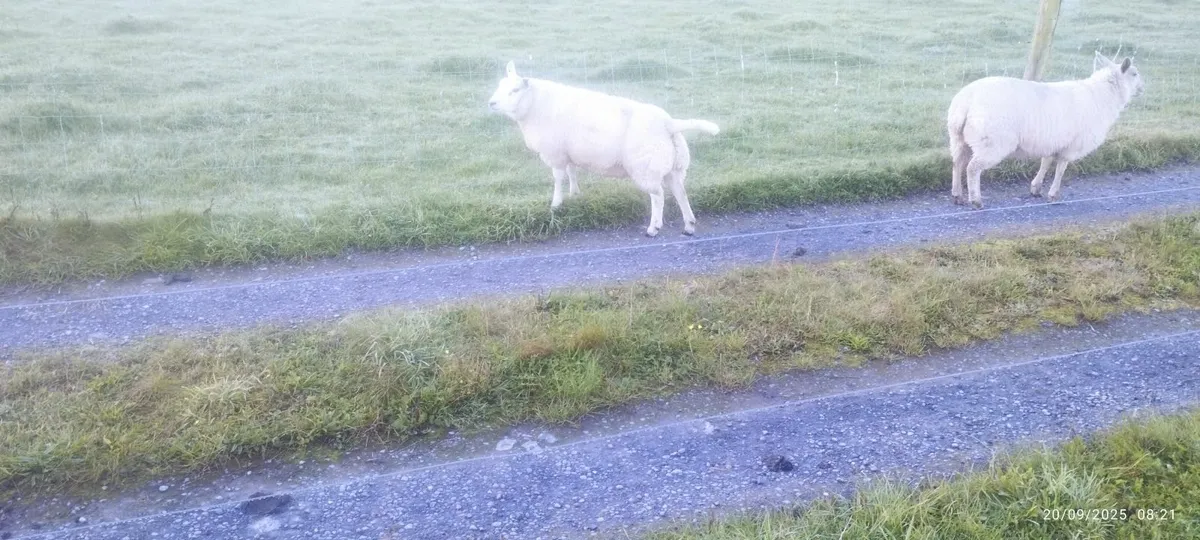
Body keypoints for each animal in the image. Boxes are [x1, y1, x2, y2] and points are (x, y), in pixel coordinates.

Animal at [487, 60, 719, 237]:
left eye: (515, 90)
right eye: (500, 85)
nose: (491, 103)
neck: (535, 106)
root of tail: (669, 123)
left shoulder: (555, 154)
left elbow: (558, 179)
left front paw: (556, 204)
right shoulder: (567, 152)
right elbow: (572, 172)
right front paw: (575, 194)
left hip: (646, 167)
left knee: (658, 196)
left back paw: (653, 228)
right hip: (674, 166)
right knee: (680, 192)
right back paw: (689, 225)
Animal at [946, 51, 1145, 208]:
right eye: (1134, 73)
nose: (1143, 89)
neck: (1103, 97)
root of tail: (966, 101)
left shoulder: (1052, 140)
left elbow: (1046, 162)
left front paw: (1036, 187)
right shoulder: (1071, 146)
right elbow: (1061, 168)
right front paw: (1053, 194)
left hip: (958, 138)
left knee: (957, 163)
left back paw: (957, 195)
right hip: (992, 142)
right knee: (972, 168)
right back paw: (975, 200)